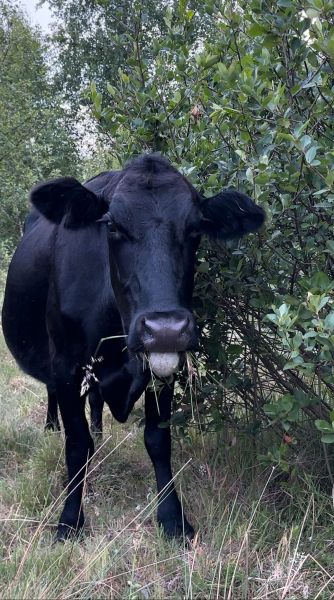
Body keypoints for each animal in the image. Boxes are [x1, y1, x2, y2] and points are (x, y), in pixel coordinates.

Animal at [1, 154, 264, 540]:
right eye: (111, 225)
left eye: (196, 229)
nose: (165, 329)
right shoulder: (66, 365)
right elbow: (77, 445)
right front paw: (69, 520)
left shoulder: (165, 369)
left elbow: (158, 441)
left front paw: (173, 518)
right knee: (52, 394)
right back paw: (51, 426)